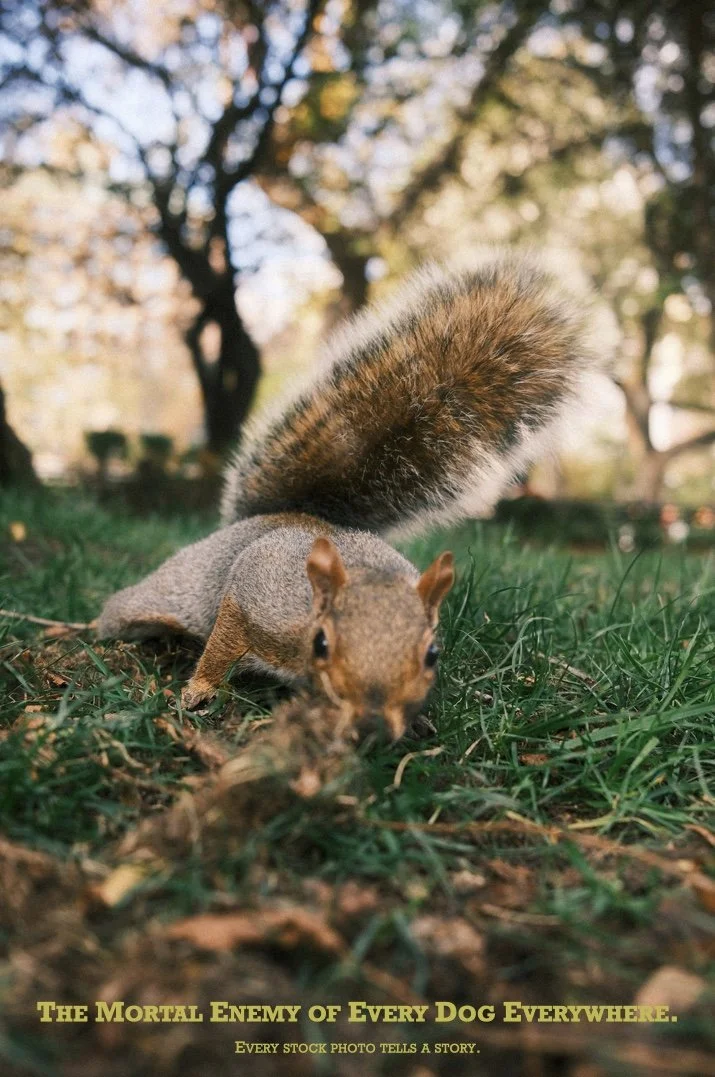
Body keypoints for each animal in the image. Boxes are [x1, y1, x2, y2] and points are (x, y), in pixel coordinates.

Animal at [97, 248, 600, 740]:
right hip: (174, 586)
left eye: (433, 654)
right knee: (131, 608)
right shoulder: (254, 600)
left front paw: (417, 724)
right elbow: (223, 643)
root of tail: (289, 516)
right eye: (322, 643)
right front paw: (198, 690)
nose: (374, 718)